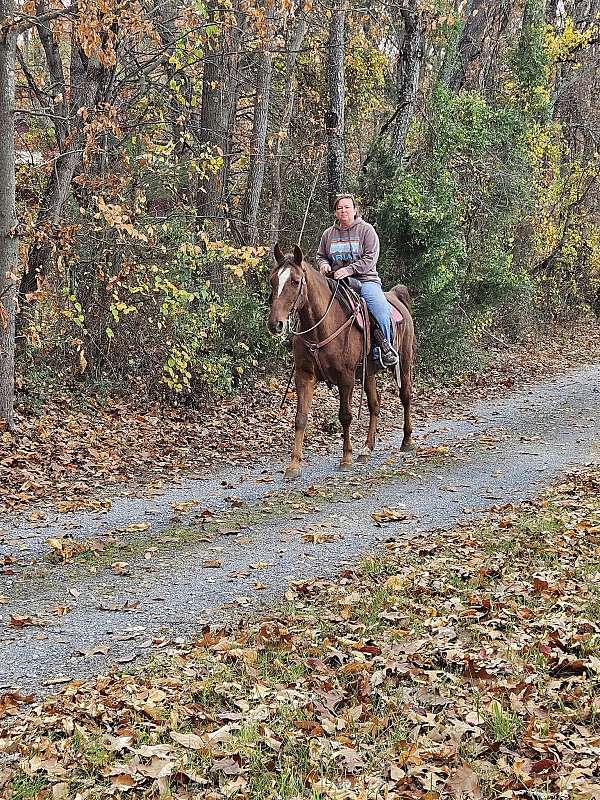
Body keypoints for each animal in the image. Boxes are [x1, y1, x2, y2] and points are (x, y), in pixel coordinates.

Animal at [268, 244, 415, 479]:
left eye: (296, 281)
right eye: (273, 280)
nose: (276, 324)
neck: (321, 326)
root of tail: (395, 296)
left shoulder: (345, 377)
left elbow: (345, 416)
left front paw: (346, 458)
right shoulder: (304, 376)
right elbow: (300, 418)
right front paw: (294, 464)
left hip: (403, 363)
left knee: (406, 396)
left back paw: (407, 440)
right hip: (368, 372)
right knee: (375, 405)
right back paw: (366, 449)